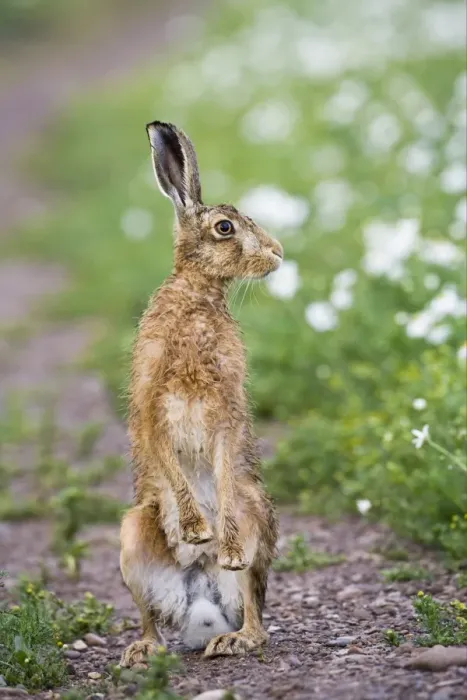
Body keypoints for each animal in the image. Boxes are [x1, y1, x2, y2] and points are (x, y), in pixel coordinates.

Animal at [119, 121, 282, 667]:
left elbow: (225, 468)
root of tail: (198, 605)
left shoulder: (227, 410)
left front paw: (217, 538)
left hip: (257, 521)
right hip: (131, 538)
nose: (277, 253)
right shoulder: (150, 403)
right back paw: (142, 652)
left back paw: (231, 635)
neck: (197, 295)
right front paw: (195, 530)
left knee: (254, 611)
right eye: (225, 228)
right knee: (149, 617)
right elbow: (168, 460)